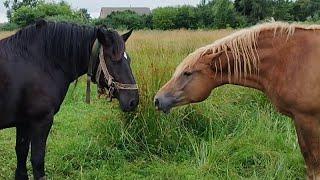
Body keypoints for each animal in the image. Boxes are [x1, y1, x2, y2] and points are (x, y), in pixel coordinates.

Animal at [0, 20, 139, 179]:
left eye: (129, 59)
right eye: (114, 59)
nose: (134, 101)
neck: (40, 63)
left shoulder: (23, 123)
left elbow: (21, 155)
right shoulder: (41, 121)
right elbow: (37, 160)